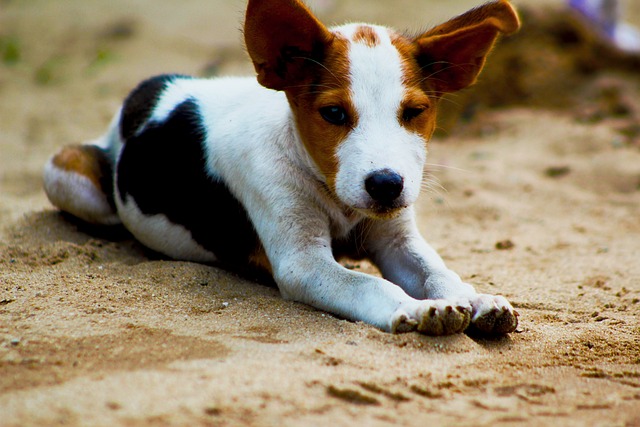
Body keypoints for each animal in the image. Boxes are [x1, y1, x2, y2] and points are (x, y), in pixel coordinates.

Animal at [45, 0, 524, 334]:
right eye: (333, 114)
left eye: (414, 112)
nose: (386, 185)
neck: (331, 190)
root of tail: (144, 91)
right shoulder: (303, 262)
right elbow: (368, 284)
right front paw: (415, 306)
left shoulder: (397, 241)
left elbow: (438, 270)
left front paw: (475, 298)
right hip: (64, 174)